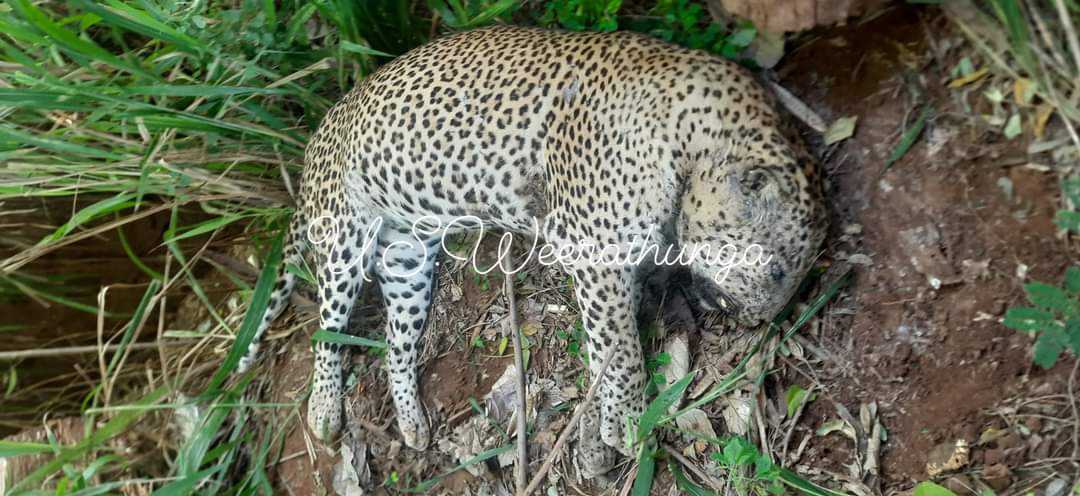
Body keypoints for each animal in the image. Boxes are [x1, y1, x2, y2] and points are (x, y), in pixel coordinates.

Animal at [237, 25, 828, 477]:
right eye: (778, 271)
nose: (754, 323)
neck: (691, 141)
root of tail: (316, 137)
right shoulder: (597, 258)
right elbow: (623, 354)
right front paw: (630, 428)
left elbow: (604, 352)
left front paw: (597, 434)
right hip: (343, 236)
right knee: (326, 328)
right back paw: (324, 411)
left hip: (407, 258)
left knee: (395, 347)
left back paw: (412, 424)